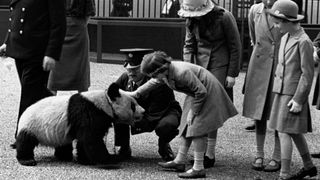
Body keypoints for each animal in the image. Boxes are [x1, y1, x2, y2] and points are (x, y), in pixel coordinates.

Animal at [15, 82, 144, 167]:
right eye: (132, 106)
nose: (143, 112)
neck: (106, 101)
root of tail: (24, 113)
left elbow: (85, 141)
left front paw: (85, 160)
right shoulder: (89, 112)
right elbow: (91, 138)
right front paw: (110, 159)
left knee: (63, 143)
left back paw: (64, 156)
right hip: (32, 126)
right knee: (26, 141)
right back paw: (27, 160)